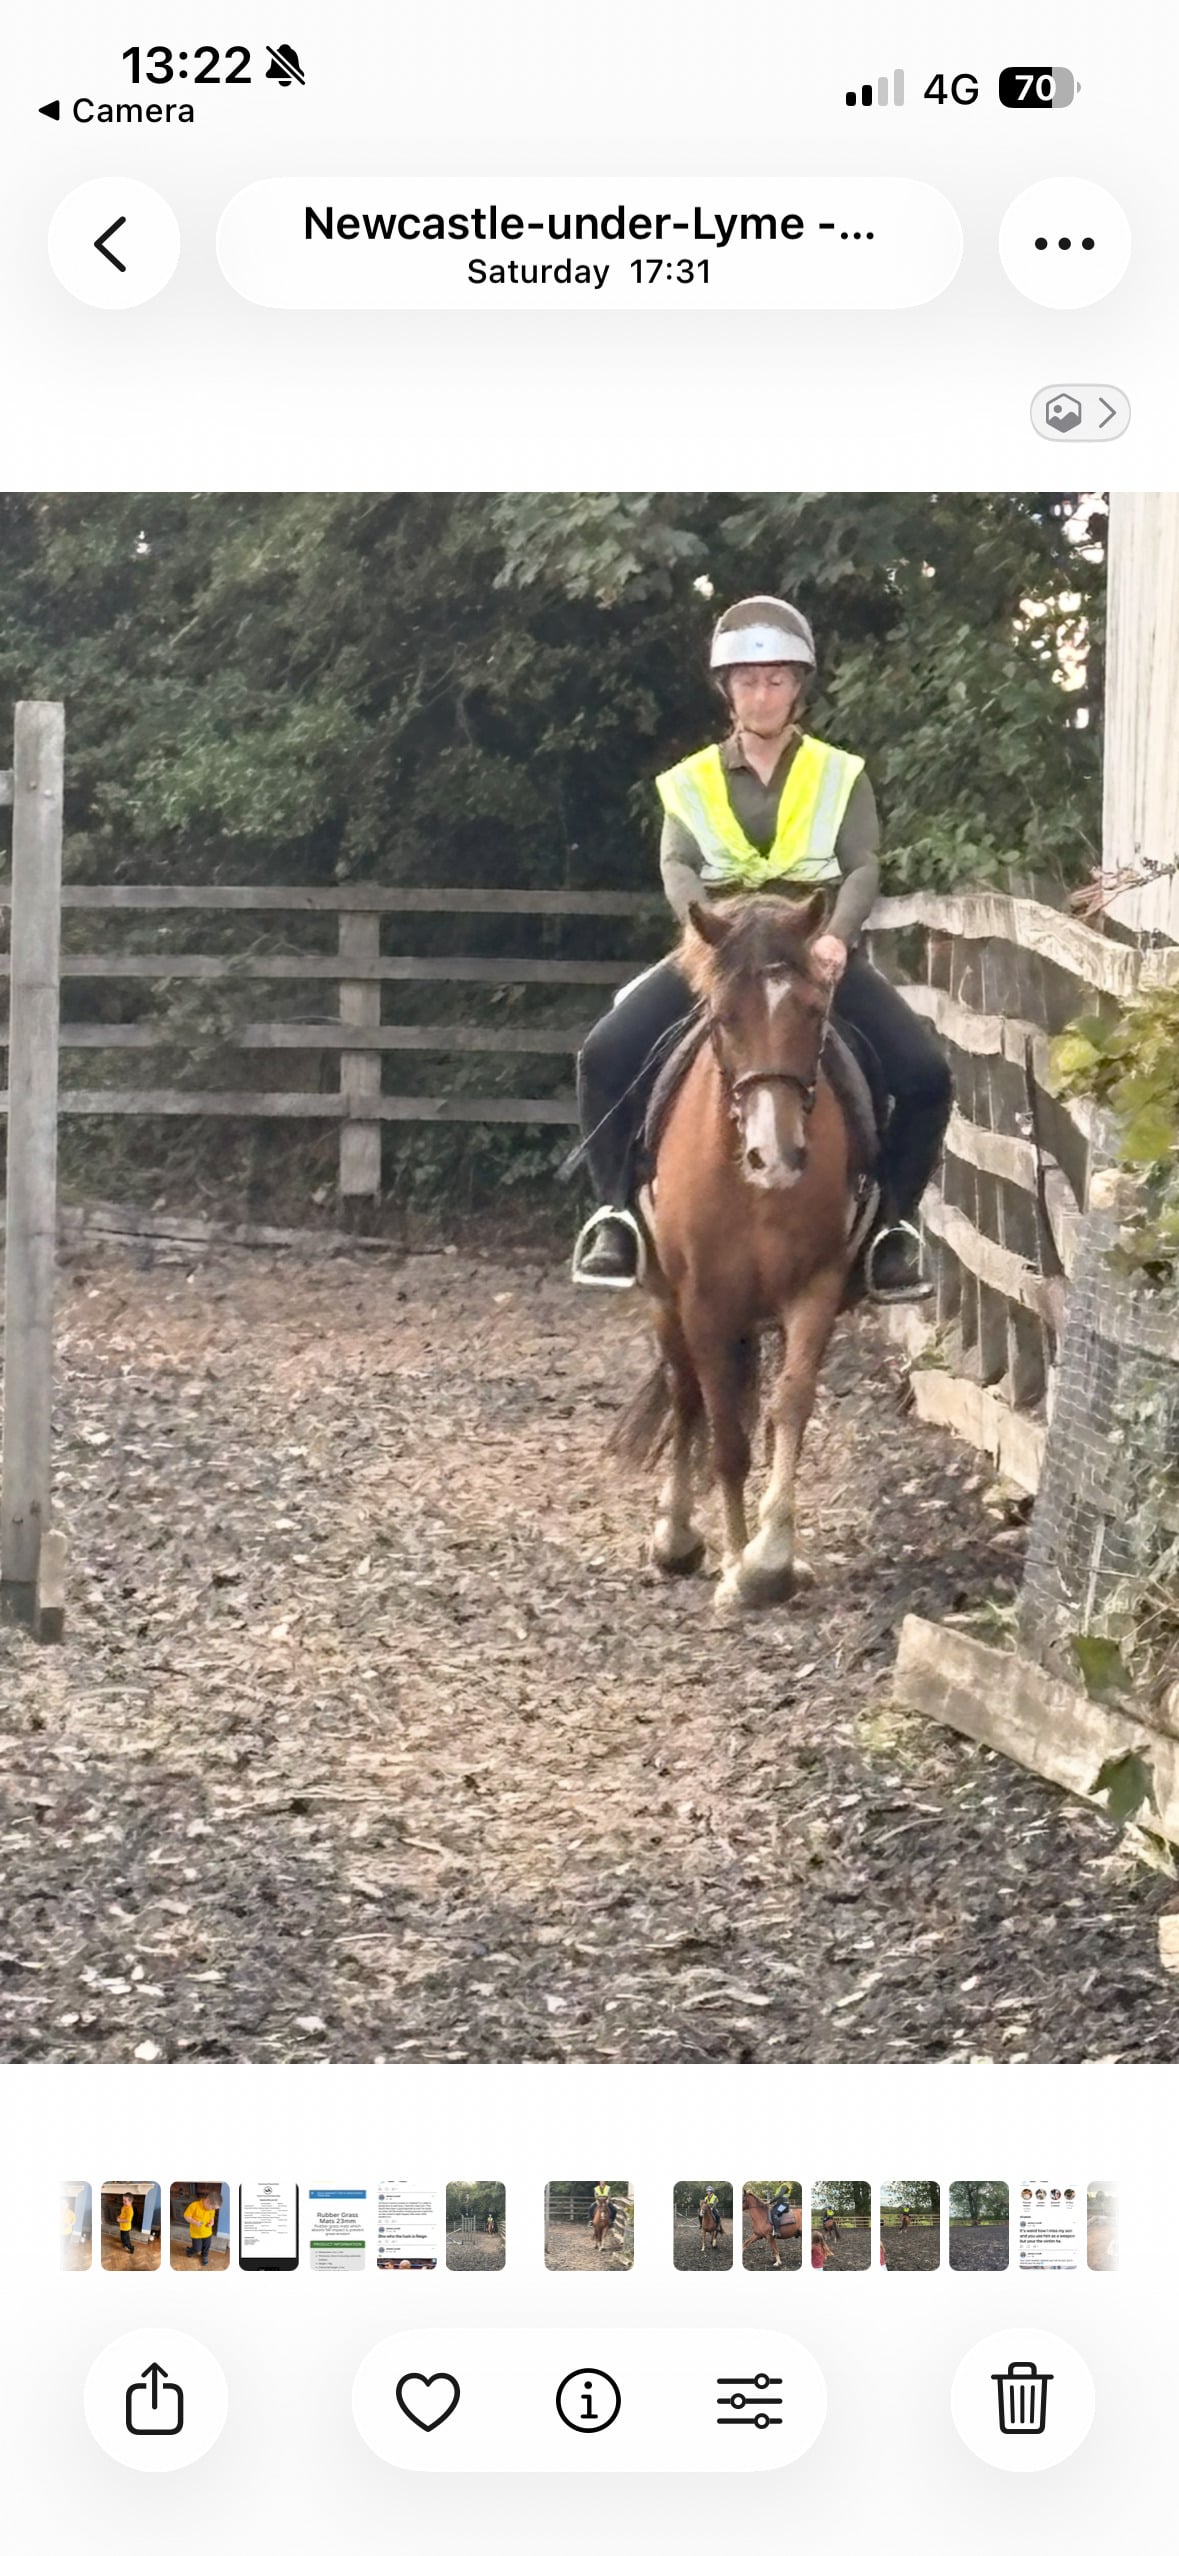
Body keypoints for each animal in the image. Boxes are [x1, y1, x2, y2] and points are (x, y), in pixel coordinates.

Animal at [610, 891, 877, 1613]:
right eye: (724, 1018)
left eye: (812, 1010)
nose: (774, 1156)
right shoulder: (702, 1299)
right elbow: (724, 1434)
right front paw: (735, 1565)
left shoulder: (815, 1286)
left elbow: (789, 1405)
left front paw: (771, 1558)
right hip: (664, 1298)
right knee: (684, 1395)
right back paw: (676, 1537)